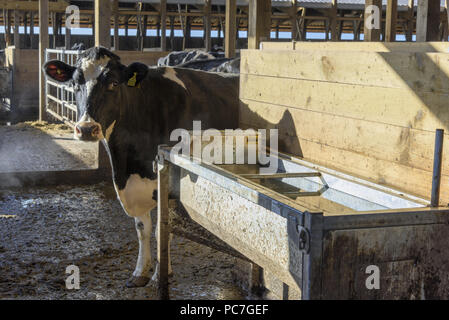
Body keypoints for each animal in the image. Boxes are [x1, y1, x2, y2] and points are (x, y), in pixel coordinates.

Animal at [43, 45, 240, 288]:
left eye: (113, 83)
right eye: (75, 83)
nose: (87, 129)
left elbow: (162, 231)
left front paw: (160, 275)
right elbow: (142, 230)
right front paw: (140, 272)